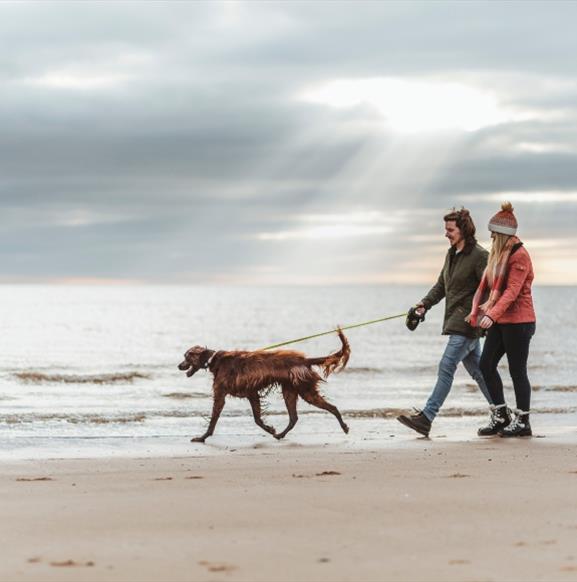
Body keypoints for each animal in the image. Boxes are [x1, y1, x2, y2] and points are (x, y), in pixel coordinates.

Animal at [179, 328, 352, 442]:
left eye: (187, 356)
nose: (179, 366)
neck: (215, 359)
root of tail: (304, 361)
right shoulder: (251, 393)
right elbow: (257, 419)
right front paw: (270, 429)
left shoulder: (221, 394)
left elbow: (214, 420)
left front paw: (202, 438)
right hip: (290, 391)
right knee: (294, 418)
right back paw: (280, 434)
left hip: (305, 390)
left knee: (332, 408)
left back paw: (344, 427)